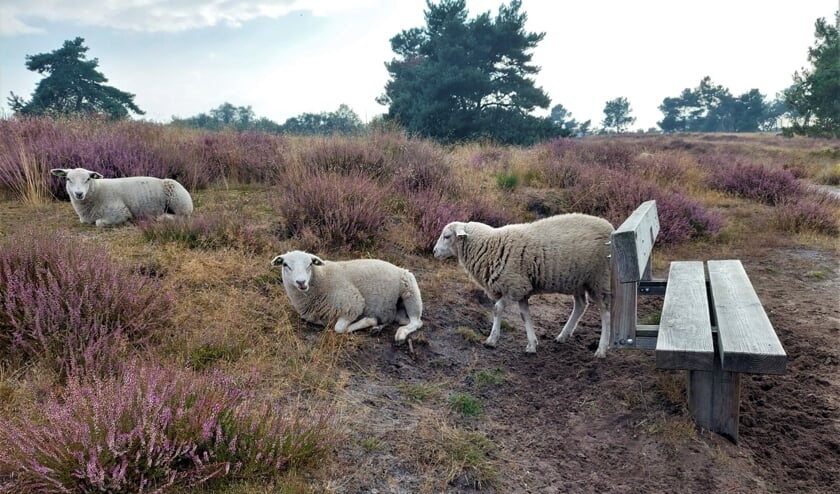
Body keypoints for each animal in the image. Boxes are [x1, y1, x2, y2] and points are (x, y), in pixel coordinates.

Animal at [49, 167, 194, 227]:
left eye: (88, 179)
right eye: (68, 179)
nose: (79, 194)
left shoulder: (120, 212)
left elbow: (98, 223)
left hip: (180, 203)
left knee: (182, 217)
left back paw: (161, 218)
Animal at [270, 249, 424, 342]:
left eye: (310, 264)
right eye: (285, 264)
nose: (301, 282)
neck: (321, 278)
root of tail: (400, 268)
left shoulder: (353, 303)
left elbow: (339, 329)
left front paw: (369, 321)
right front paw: (373, 323)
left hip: (410, 291)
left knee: (416, 322)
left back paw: (400, 334)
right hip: (397, 309)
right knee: (401, 320)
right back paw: (380, 328)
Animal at [430, 212, 612, 356]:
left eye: (447, 236)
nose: (434, 251)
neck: (490, 246)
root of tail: (609, 227)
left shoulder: (514, 287)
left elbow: (497, 308)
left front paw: (492, 340)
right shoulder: (522, 289)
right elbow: (525, 315)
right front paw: (532, 344)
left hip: (600, 278)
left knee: (605, 312)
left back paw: (601, 349)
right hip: (578, 281)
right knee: (581, 305)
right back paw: (563, 336)